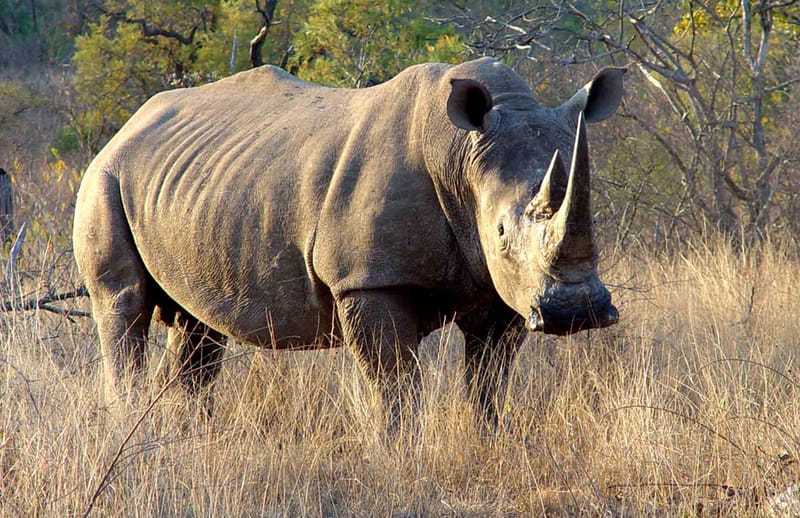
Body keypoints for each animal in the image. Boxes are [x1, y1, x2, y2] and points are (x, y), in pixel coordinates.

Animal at [73, 57, 623, 425]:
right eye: (503, 231)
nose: (577, 312)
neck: (460, 157)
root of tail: (127, 126)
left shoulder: (500, 285)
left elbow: (489, 380)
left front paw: (487, 440)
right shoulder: (367, 280)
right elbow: (394, 384)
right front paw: (400, 455)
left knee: (196, 327)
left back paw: (185, 434)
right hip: (104, 177)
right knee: (123, 307)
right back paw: (133, 425)